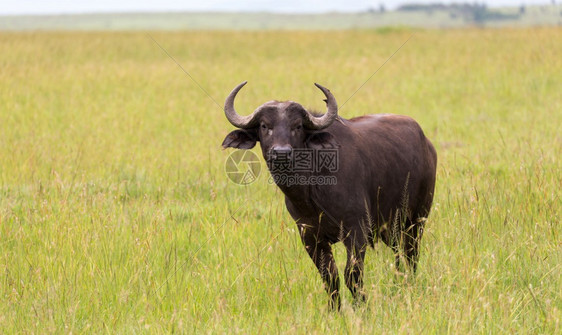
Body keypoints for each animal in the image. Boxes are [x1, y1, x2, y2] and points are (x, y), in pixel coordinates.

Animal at [221, 82, 436, 310]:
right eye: (264, 125)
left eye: (298, 126)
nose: (281, 153)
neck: (311, 192)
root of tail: (427, 145)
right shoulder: (310, 237)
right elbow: (329, 277)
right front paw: (335, 310)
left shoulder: (356, 230)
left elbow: (352, 274)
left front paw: (362, 307)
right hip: (391, 228)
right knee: (398, 255)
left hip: (416, 220)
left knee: (411, 255)